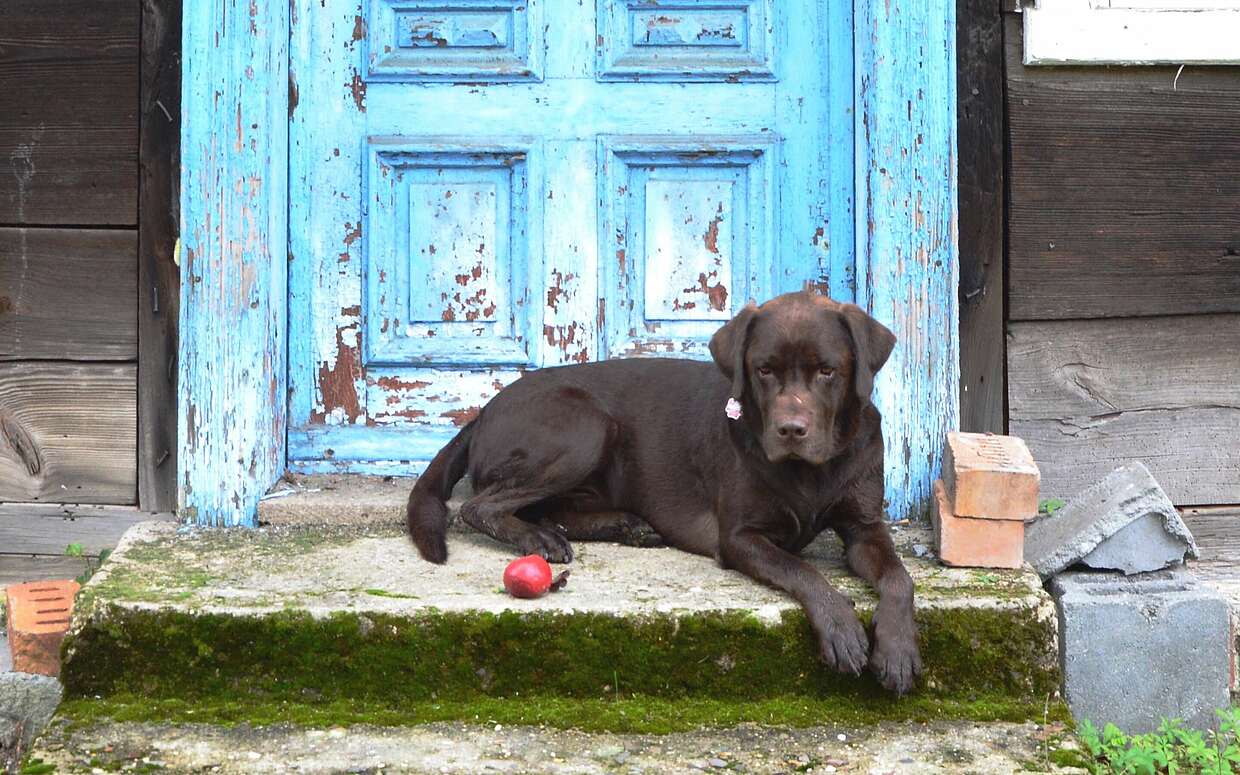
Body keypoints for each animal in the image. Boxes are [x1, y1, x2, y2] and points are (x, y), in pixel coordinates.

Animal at [406, 288, 922, 689]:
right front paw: (842, 629)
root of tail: (481, 413)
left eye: (827, 371)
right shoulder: (741, 538)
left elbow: (900, 577)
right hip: (585, 424)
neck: (810, 471)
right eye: (764, 370)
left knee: (549, 508)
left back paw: (620, 525)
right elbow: (804, 571)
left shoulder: (864, 528)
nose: (791, 430)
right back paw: (539, 538)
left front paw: (897, 650)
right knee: (479, 506)